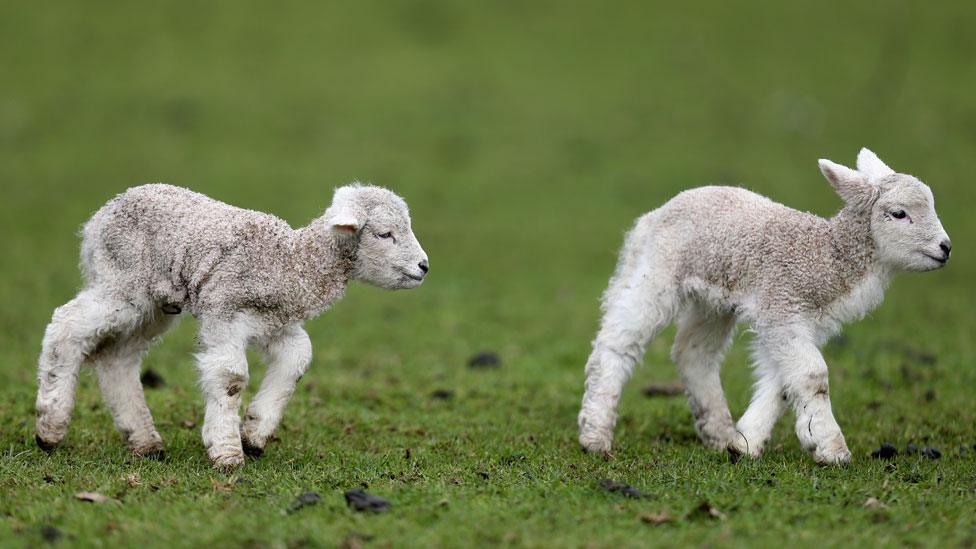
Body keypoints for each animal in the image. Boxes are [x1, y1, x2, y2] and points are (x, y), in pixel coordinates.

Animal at [34, 182, 428, 464]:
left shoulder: (273, 323)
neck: (291, 262)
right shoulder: (223, 311)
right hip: (122, 284)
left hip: (153, 306)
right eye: (384, 234)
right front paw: (227, 452)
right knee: (66, 325)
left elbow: (298, 359)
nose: (424, 266)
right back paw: (49, 428)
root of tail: (98, 218)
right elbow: (231, 378)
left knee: (118, 358)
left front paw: (254, 434)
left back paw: (145, 442)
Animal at [576, 147, 948, 462]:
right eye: (899, 213)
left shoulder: (800, 322)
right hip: (655, 274)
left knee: (693, 352)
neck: (825, 256)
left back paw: (719, 432)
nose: (946, 248)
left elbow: (783, 383)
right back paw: (595, 434)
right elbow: (813, 375)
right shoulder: (781, 307)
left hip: (712, 300)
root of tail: (655, 214)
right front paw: (832, 449)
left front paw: (744, 443)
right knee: (617, 343)